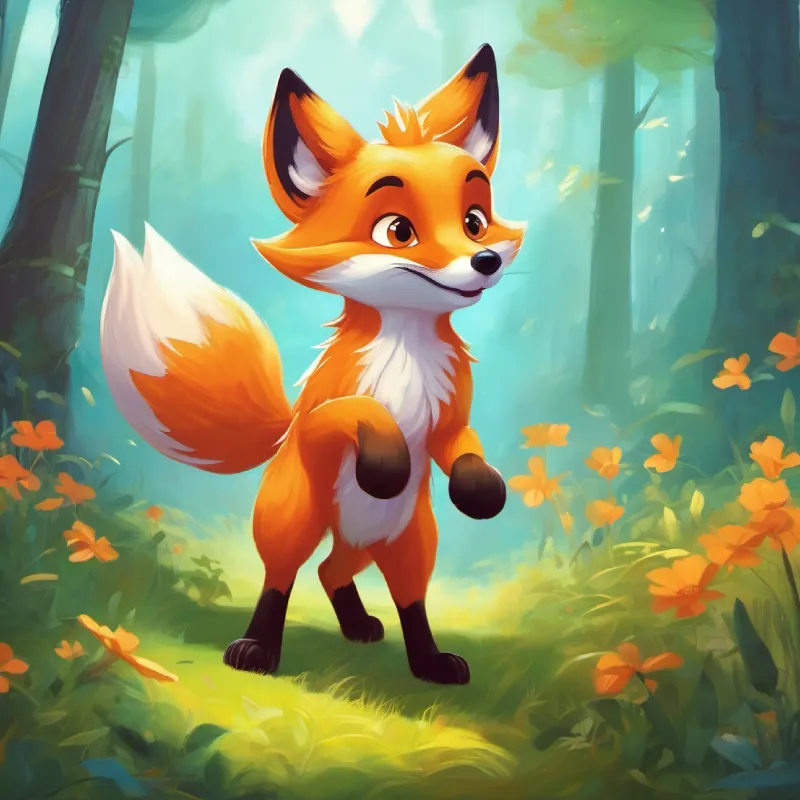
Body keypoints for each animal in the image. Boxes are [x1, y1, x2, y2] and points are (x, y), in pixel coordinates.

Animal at [99, 43, 525, 685]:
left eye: (474, 221)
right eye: (398, 230)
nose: (483, 262)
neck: (405, 352)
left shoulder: (450, 420)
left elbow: (463, 449)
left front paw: (481, 492)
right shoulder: (321, 416)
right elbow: (354, 415)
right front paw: (385, 460)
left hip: (405, 540)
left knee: (370, 585)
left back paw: (416, 654)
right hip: (293, 517)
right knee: (285, 577)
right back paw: (256, 649)